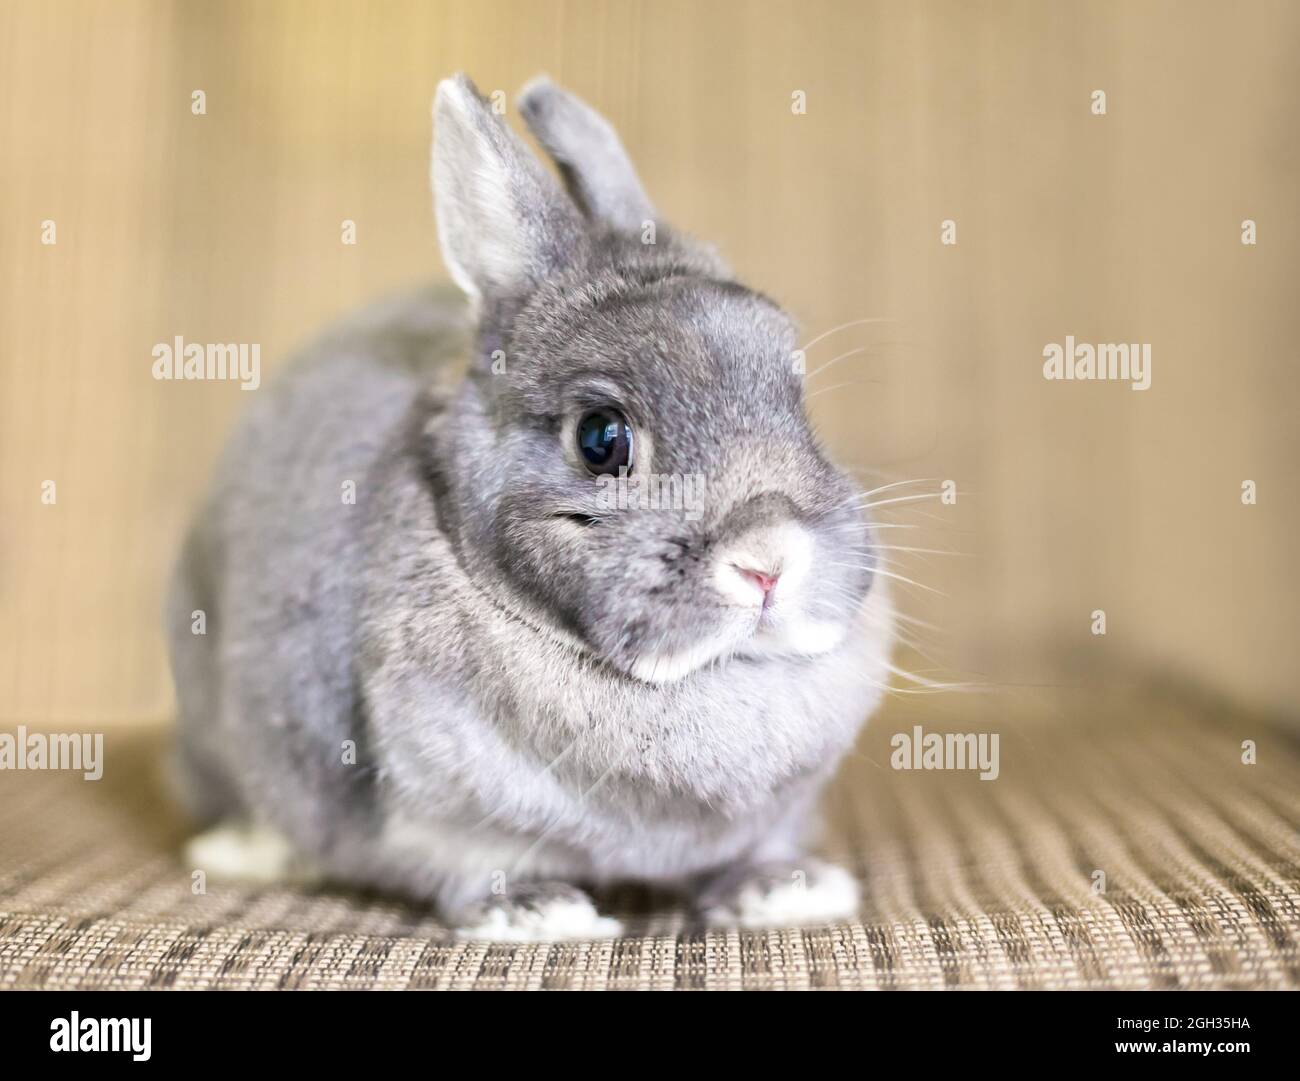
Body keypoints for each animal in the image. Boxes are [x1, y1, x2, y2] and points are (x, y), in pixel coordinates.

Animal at [167, 74, 889, 935]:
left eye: (796, 393)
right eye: (601, 438)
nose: (769, 560)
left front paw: (789, 890)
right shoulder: (434, 817)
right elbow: (468, 866)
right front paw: (540, 913)